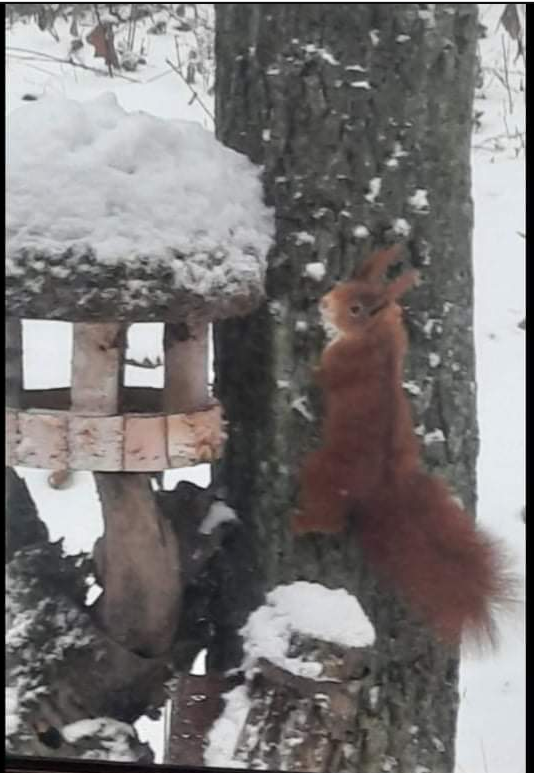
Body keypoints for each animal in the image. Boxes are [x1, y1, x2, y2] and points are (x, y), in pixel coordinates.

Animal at [292, 245, 515, 647]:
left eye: (356, 309)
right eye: (345, 282)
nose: (323, 302)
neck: (375, 341)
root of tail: (382, 491)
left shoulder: (339, 367)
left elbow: (319, 377)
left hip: (321, 472)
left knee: (329, 520)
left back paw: (297, 521)